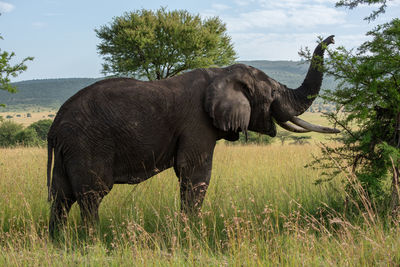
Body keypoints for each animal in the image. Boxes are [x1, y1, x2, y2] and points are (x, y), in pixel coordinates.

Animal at [47, 35, 338, 237]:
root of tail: (55, 125)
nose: (333, 38)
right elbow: (195, 174)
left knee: (62, 197)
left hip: (69, 149)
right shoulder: (196, 122)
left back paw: (59, 241)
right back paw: (93, 240)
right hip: (87, 144)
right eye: (273, 94)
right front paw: (193, 235)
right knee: (91, 195)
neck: (221, 73)